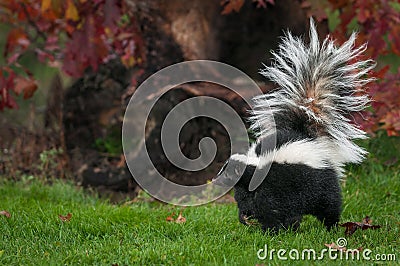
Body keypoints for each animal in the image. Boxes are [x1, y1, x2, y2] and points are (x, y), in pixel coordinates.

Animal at [212, 18, 376, 233]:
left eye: (227, 173)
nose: (214, 180)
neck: (256, 164)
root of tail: (311, 137)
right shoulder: (250, 187)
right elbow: (247, 200)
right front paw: (246, 217)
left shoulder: (274, 184)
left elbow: (270, 206)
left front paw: (270, 229)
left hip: (321, 181)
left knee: (329, 204)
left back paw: (330, 227)